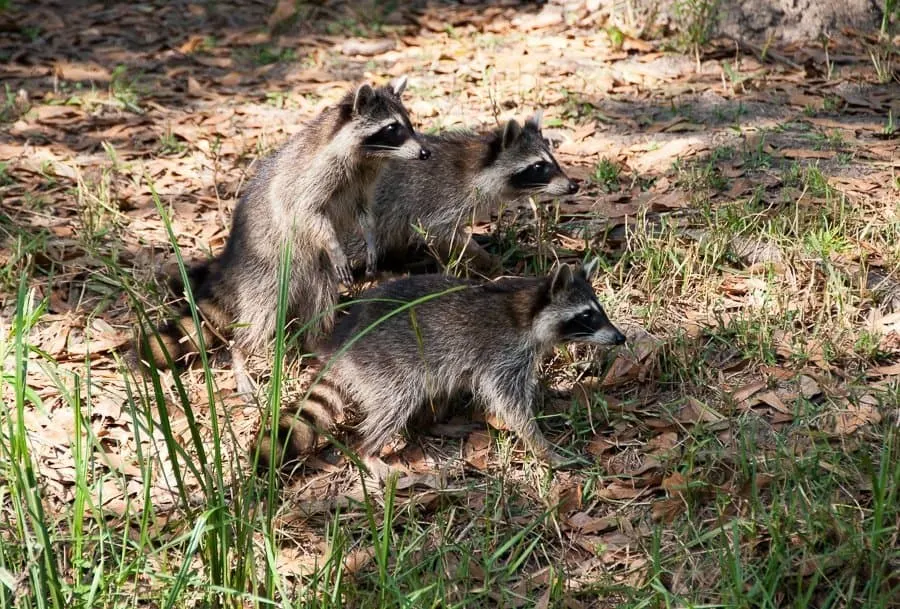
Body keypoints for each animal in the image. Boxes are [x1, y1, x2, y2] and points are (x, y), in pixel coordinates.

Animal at [138, 77, 432, 394]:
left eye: (408, 123)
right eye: (392, 129)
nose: (425, 153)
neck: (368, 155)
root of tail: (232, 258)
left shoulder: (364, 181)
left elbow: (364, 213)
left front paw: (370, 240)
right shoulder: (317, 173)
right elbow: (307, 211)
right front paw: (333, 243)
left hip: (313, 272)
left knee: (319, 299)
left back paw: (316, 342)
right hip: (267, 270)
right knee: (262, 315)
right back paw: (240, 353)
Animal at [255, 258, 624, 472]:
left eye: (599, 310)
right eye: (587, 316)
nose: (620, 338)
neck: (527, 309)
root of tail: (342, 344)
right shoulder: (503, 355)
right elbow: (511, 404)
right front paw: (542, 446)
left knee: (439, 387)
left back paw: (433, 424)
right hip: (386, 364)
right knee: (397, 401)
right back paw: (370, 450)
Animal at [344, 111, 576, 276]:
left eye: (553, 161)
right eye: (538, 166)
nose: (573, 186)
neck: (479, 165)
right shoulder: (437, 198)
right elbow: (441, 231)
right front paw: (484, 259)